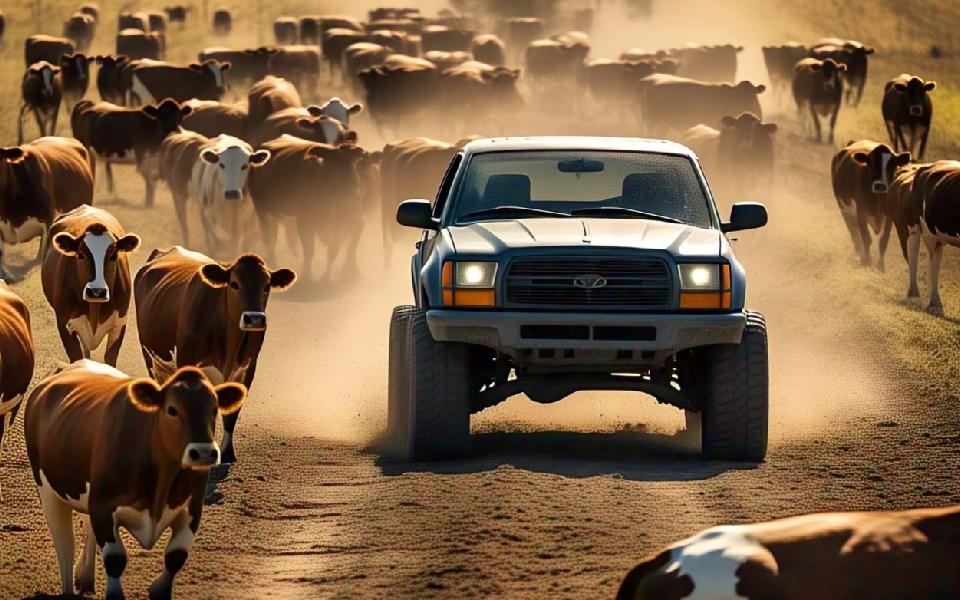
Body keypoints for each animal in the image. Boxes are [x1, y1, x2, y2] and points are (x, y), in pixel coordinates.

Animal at [25, 360, 246, 599]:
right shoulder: (103, 506)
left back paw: (86, 579)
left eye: (214, 410)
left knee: (86, 531)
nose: (205, 453)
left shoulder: (192, 509)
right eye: (172, 409)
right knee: (65, 545)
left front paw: (158, 589)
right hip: (48, 492)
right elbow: (115, 560)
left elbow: (175, 557)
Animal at [42, 205, 140, 365]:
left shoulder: (120, 323)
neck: (94, 308)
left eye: (113, 255)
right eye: (80, 254)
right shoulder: (64, 324)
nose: (96, 291)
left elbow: (110, 359)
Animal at [135, 247, 295, 462]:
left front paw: (227, 452)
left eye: (267, 286)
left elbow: (232, 412)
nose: (254, 319)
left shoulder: (247, 368)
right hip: (150, 357)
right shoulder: (187, 362)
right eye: (234, 284)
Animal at [248, 136, 368, 280]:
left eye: (355, 169)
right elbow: (309, 249)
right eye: (334, 166)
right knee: (268, 236)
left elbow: (350, 247)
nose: (350, 192)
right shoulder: (305, 221)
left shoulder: (357, 220)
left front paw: (350, 271)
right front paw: (307, 276)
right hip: (260, 208)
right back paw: (272, 262)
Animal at [831, 140, 911, 270]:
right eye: (870, 164)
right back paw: (859, 252)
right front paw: (867, 261)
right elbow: (866, 237)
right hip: (843, 207)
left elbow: (883, 240)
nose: (880, 185)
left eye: (892, 165)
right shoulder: (860, 212)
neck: (878, 199)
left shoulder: (889, 216)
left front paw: (880, 265)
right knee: (854, 231)